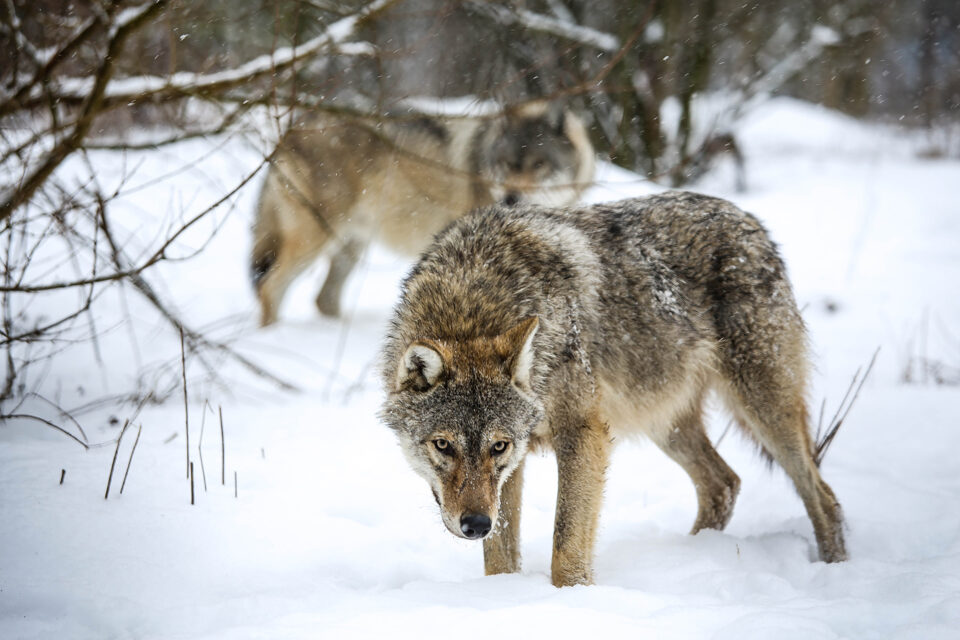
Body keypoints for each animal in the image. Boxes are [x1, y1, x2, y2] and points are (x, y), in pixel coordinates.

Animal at [248, 104, 592, 330]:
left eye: (539, 164)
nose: (510, 197)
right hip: (316, 239)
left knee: (323, 299)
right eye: (507, 164)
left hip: (350, 246)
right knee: (269, 287)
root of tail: (292, 126)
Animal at [382, 192, 848, 588]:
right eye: (443, 445)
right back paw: (696, 556)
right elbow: (500, 557)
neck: (471, 306)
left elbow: (566, 543)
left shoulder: (582, 434)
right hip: (665, 423)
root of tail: (748, 219)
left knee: (823, 496)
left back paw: (834, 570)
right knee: (724, 484)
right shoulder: (518, 464)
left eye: (497, 446)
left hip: (763, 410)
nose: (475, 525)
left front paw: (572, 596)